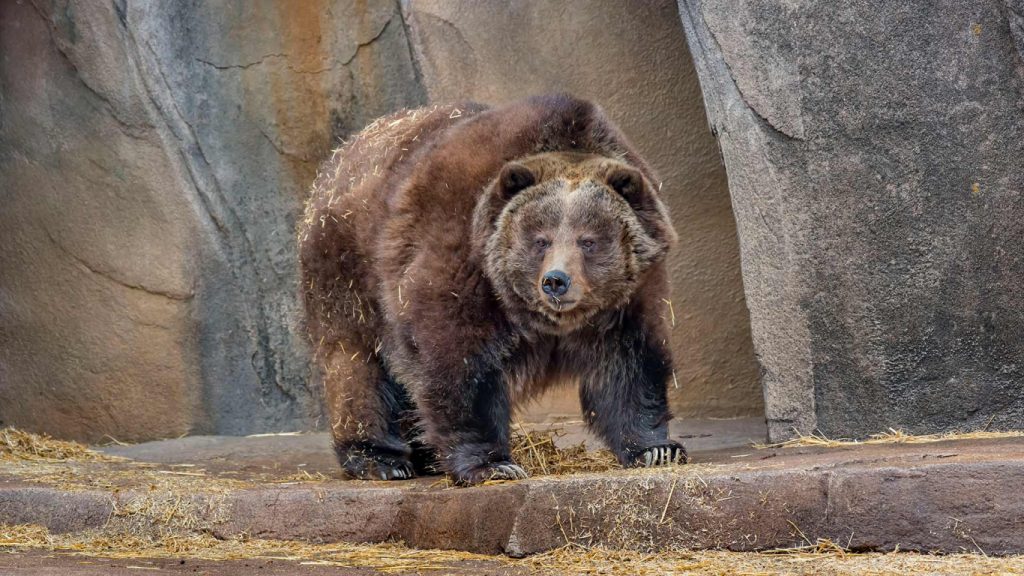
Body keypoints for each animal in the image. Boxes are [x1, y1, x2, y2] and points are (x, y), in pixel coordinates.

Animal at [299, 95, 688, 483]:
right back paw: (381, 458)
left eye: (587, 240)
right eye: (541, 239)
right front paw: (493, 464)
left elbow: (631, 365)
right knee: (356, 364)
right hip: (349, 272)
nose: (555, 281)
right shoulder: (461, 261)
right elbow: (457, 362)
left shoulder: (629, 297)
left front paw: (657, 449)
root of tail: (340, 156)